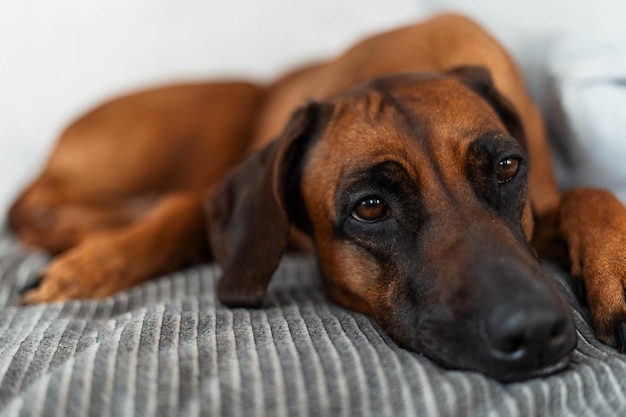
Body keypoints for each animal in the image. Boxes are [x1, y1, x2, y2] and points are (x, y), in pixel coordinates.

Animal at [8, 13, 624, 380]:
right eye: (370, 207)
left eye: (506, 166)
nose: (535, 331)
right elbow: (182, 211)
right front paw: (90, 266)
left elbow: (590, 192)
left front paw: (614, 273)